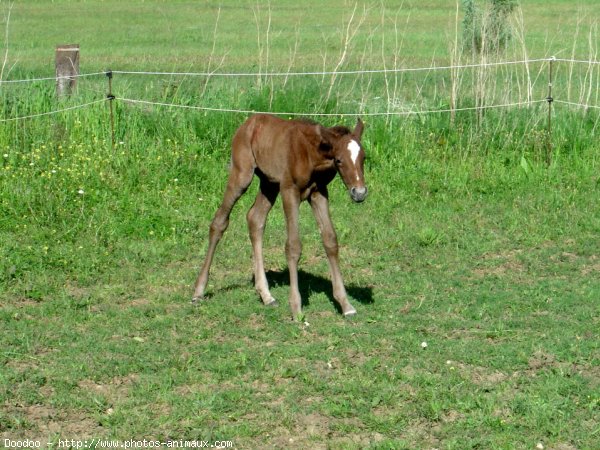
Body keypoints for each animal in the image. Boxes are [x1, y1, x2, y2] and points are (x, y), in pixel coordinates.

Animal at [195, 113, 368, 320]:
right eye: (340, 160)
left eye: (364, 158)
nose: (359, 193)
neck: (312, 154)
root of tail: (248, 123)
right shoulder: (289, 191)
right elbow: (293, 246)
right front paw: (296, 308)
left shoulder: (319, 192)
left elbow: (330, 241)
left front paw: (345, 304)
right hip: (242, 175)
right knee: (220, 222)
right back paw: (198, 291)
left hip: (269, 183)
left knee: (255, 218)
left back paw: (266, 295)